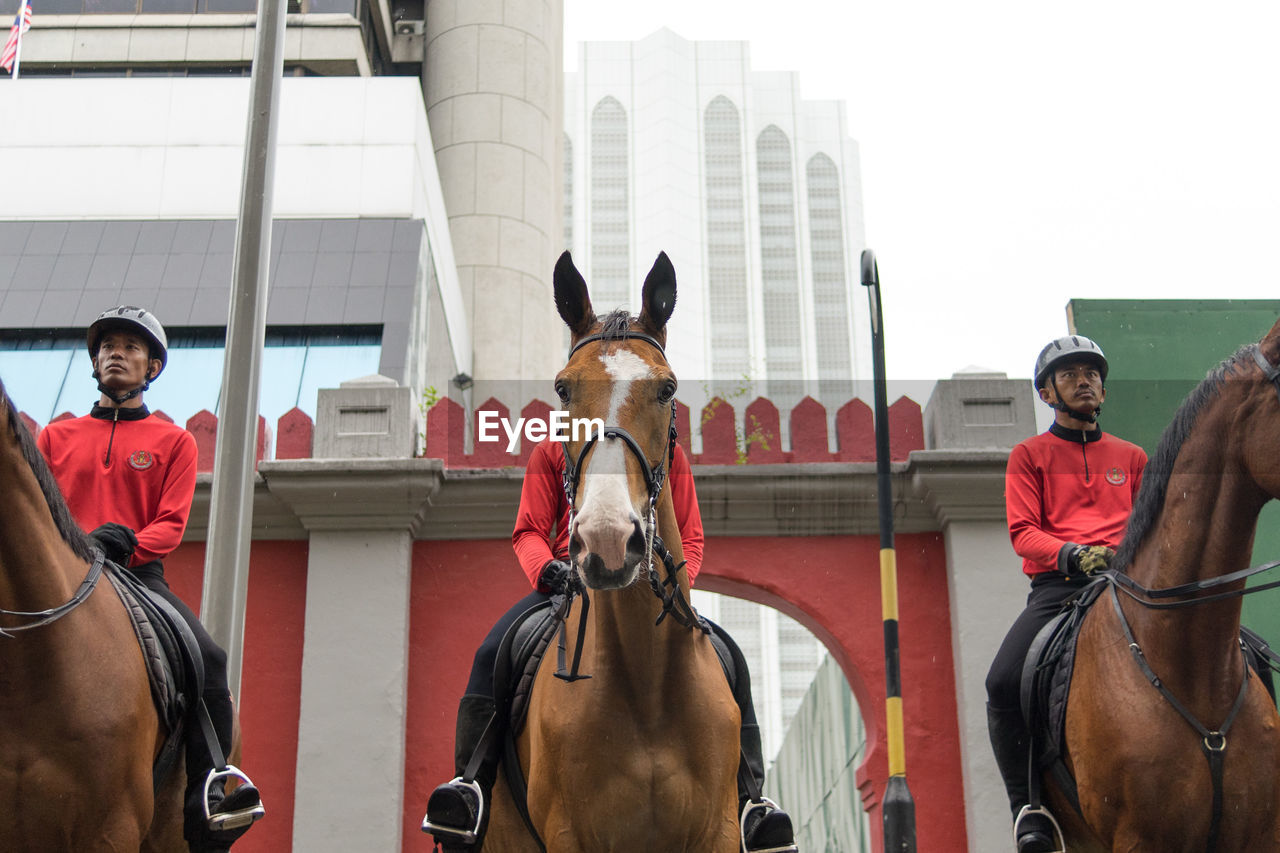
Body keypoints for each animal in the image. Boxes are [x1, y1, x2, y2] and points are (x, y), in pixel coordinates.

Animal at [481, 252, 742, 850]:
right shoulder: (569, 834)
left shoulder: (718, 832)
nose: (606, 539)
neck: (647, 688)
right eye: (562, 388)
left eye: (667, 389)